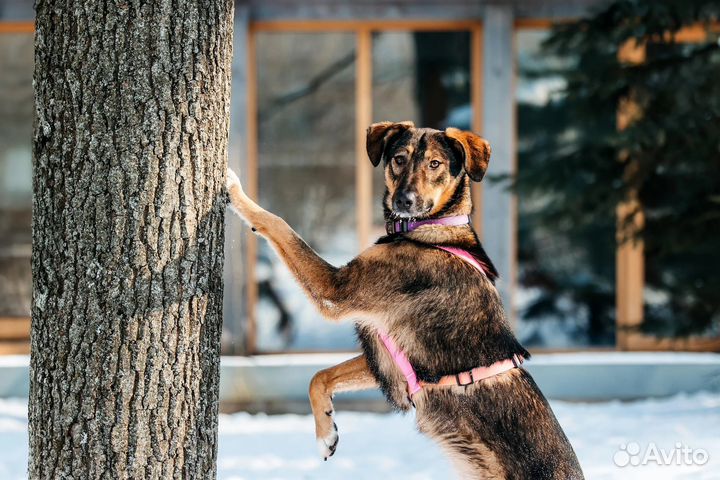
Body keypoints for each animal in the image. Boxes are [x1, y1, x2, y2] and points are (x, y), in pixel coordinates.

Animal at [226, 122, 584, 478]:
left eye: (435, 164)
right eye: (399, 159)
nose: (404, 200)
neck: (435, 229)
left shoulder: (334, 291)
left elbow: (278, 223)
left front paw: (236, 191)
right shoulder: (389, 361)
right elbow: (320, 376)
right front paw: (326, 434)